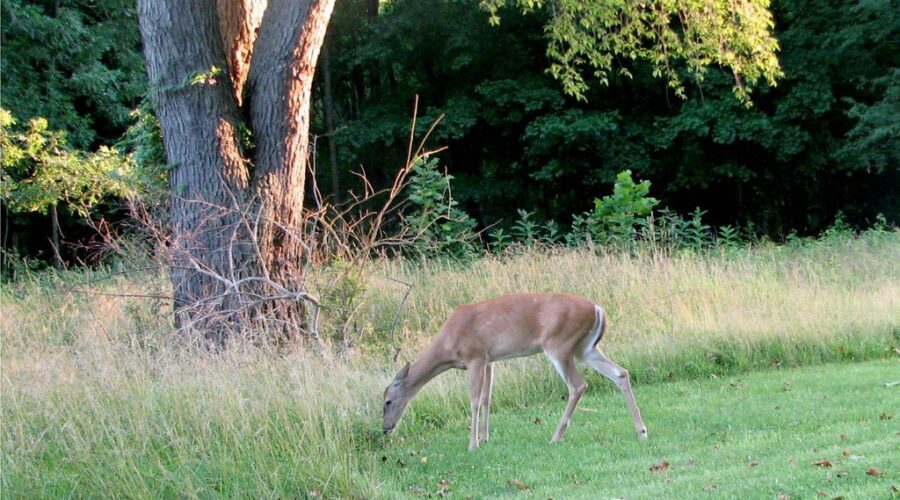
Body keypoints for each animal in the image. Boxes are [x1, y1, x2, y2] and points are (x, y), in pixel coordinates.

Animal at [382, 292, 647, 451]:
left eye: (387, 401)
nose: (385, 429)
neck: (448, 345)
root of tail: (597, 308)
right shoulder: (489, 359)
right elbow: (487, 398)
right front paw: (484, 438)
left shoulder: (475, 355)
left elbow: (474, 400)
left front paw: (473, 444)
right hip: (585, 348)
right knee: (620, 373)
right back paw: (641, 430)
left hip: (559, 344)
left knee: (578, 385)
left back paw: (555, 437)